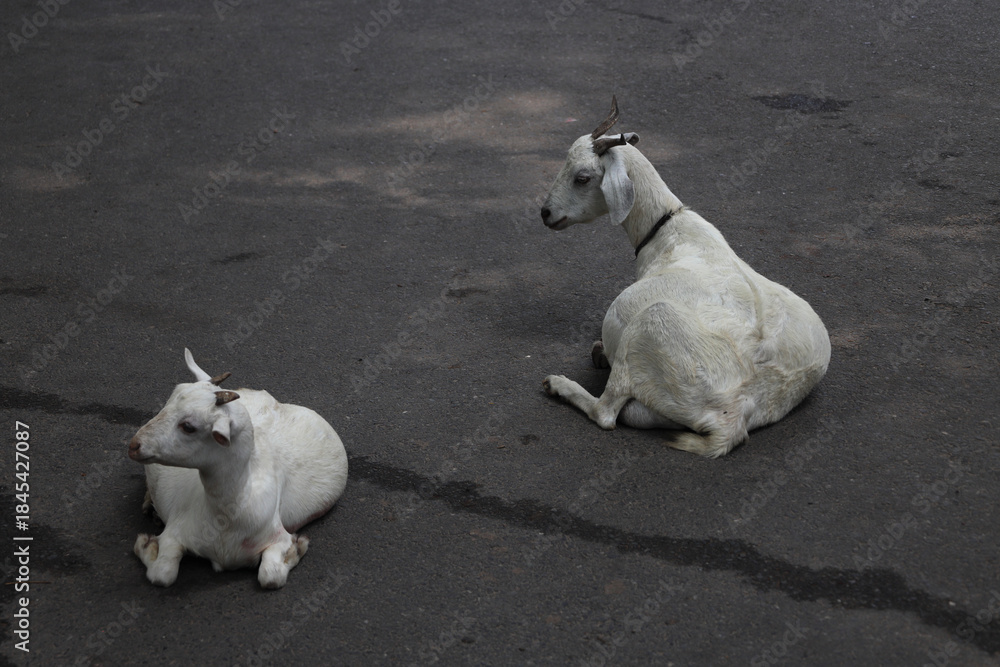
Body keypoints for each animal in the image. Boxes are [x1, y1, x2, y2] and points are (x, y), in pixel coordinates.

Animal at [128, 349, 348, 588]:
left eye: (188, 427)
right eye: (169, 402)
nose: (134, 445)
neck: (226, 517)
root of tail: (260, 394)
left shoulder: (276, 535)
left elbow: (270, 576)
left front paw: (298, 547)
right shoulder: (175, 532)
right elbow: (163, 574)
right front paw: (145, 544)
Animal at [540, 97, 831, 457]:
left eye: (582, 177)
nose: (545, 213)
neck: (667, 229)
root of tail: (734, 416)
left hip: (651, 327)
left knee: (605, 412)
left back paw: (560, 384)